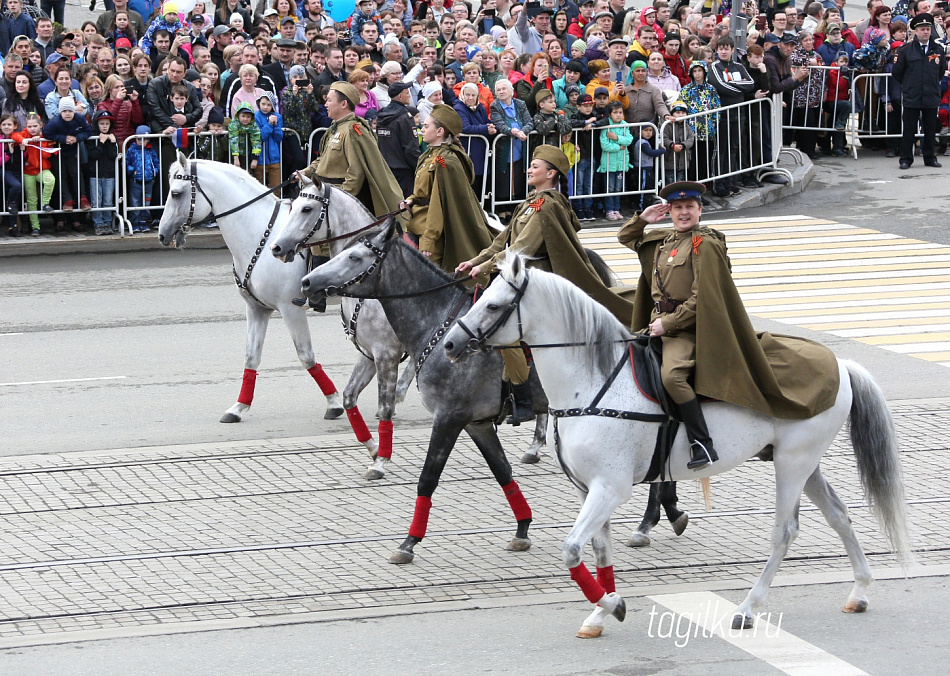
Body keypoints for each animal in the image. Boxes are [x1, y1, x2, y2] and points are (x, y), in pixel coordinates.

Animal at [155, 154, 406, 472]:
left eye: (176, 193)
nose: (162, 234)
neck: (259, 236)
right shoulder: (256, 309)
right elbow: (251, 357)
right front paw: (238, 408)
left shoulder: (290, 309)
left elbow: (306, 357)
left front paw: (334, 403)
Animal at [446, 252, 916, 640]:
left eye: (492, 305)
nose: (450, 343)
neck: (593, 382)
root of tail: (840, 363)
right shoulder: (588, 489)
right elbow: (598, 551)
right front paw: (601, 612)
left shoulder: (610, 488)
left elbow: (572, 549)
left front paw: (612, 604)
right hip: (805, 465)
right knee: (839, 516)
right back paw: (859, 590)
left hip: (792, 464)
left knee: (785, 532)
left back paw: (748, 608)